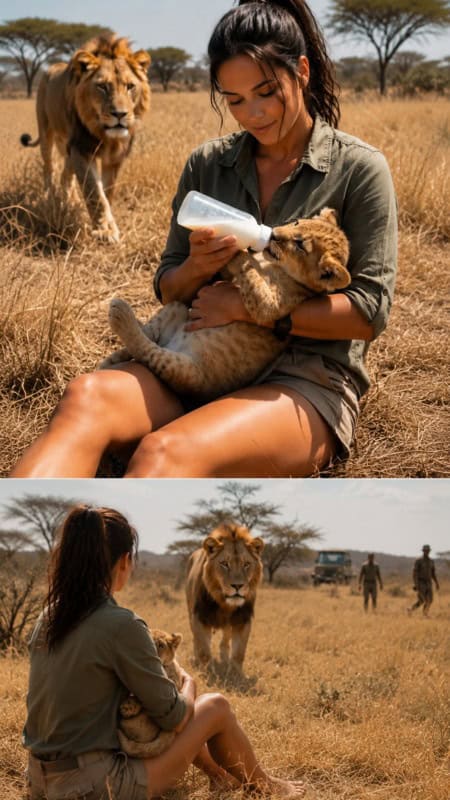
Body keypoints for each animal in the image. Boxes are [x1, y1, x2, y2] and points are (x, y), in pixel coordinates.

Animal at [20, 35, 151, 243]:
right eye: (102, 86)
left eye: (130, 86)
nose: (120, 114)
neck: (107, 136)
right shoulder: (81, 149)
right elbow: (94, 192)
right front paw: (105, 232)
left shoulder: (114, 159)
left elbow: (107, 193)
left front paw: (109, 223)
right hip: (47, 132)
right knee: (49, 169)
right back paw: (50, 199)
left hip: (67, 148)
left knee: (66, 176)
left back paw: (70, 201)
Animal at [186, 523, 264, 671]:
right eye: (224, 564)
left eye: (246, 564)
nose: (237, 585)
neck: (224, 603)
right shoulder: (199, 616)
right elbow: (203, 649)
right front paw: (207, 671)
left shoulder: (243, 619)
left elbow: (239, 652)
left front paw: (235, 674)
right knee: (195, 639)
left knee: (225, 639)